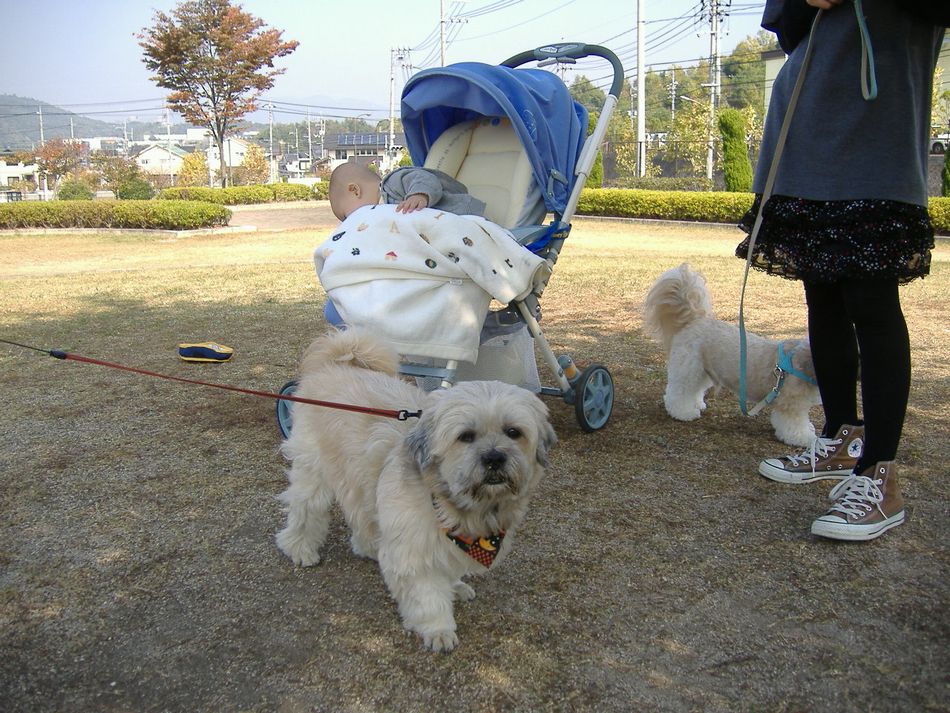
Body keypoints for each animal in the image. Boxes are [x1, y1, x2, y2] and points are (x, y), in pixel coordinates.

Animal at [276, 328, 556, 652]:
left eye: (513, 432)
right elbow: (427, 597)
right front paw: (438, 629)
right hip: (314, 474)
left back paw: (368, 546)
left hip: (360, 482)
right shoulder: (413, 552)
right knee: (305, 510)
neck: (456, 508)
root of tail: (335, 364)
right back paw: (300, 549)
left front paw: (455, 587)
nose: (495, 457)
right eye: (466, 436)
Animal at [642, 263, 820, 447]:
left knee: (694, 389)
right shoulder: (792, 406)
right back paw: (683, 412)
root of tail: (695, 320)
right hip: (688, 369)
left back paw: (696, 404)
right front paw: (805, 438)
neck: (804, 362)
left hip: (702, 370)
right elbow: (795, 426)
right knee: (679, 392)